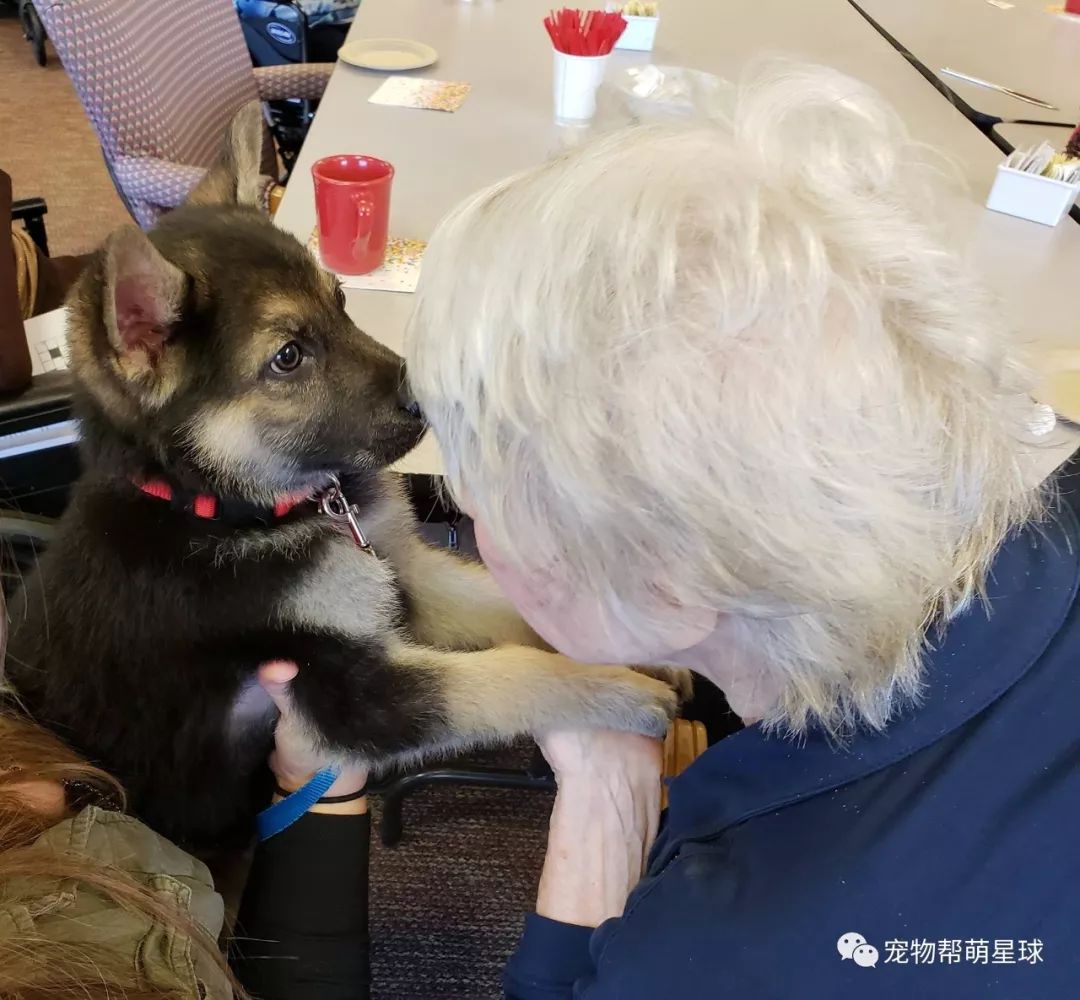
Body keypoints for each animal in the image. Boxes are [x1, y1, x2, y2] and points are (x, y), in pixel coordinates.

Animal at [4, 105, 673, 850]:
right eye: (289, 357)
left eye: (342, 297)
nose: (433, 397)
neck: (227, 510)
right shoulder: (346, 691)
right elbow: (513, 672)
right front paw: (624, 691)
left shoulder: (403, 570)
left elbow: (505, 604)